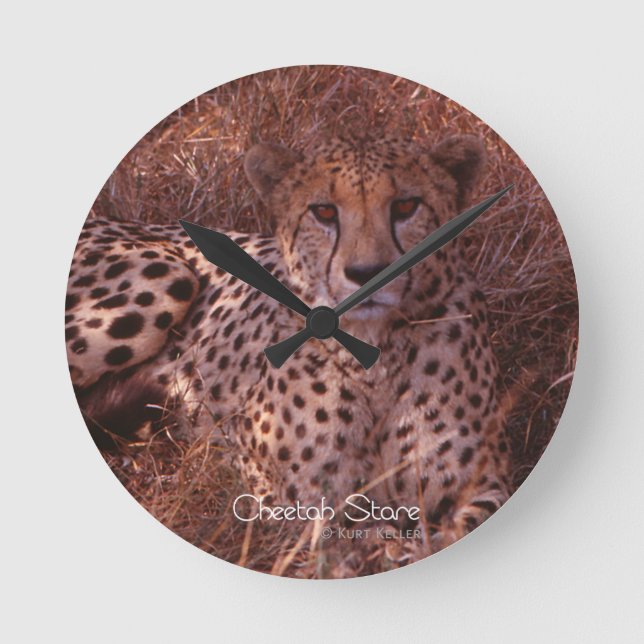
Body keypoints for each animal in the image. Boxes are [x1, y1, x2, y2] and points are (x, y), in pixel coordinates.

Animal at [65, 133, 511, 554]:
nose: (366, 272)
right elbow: (351, 540)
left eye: (406, 206)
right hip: (166, 277)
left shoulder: (485, 482)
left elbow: (457, 525)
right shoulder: (280, 490)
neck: (374, 356)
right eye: (324, 211)